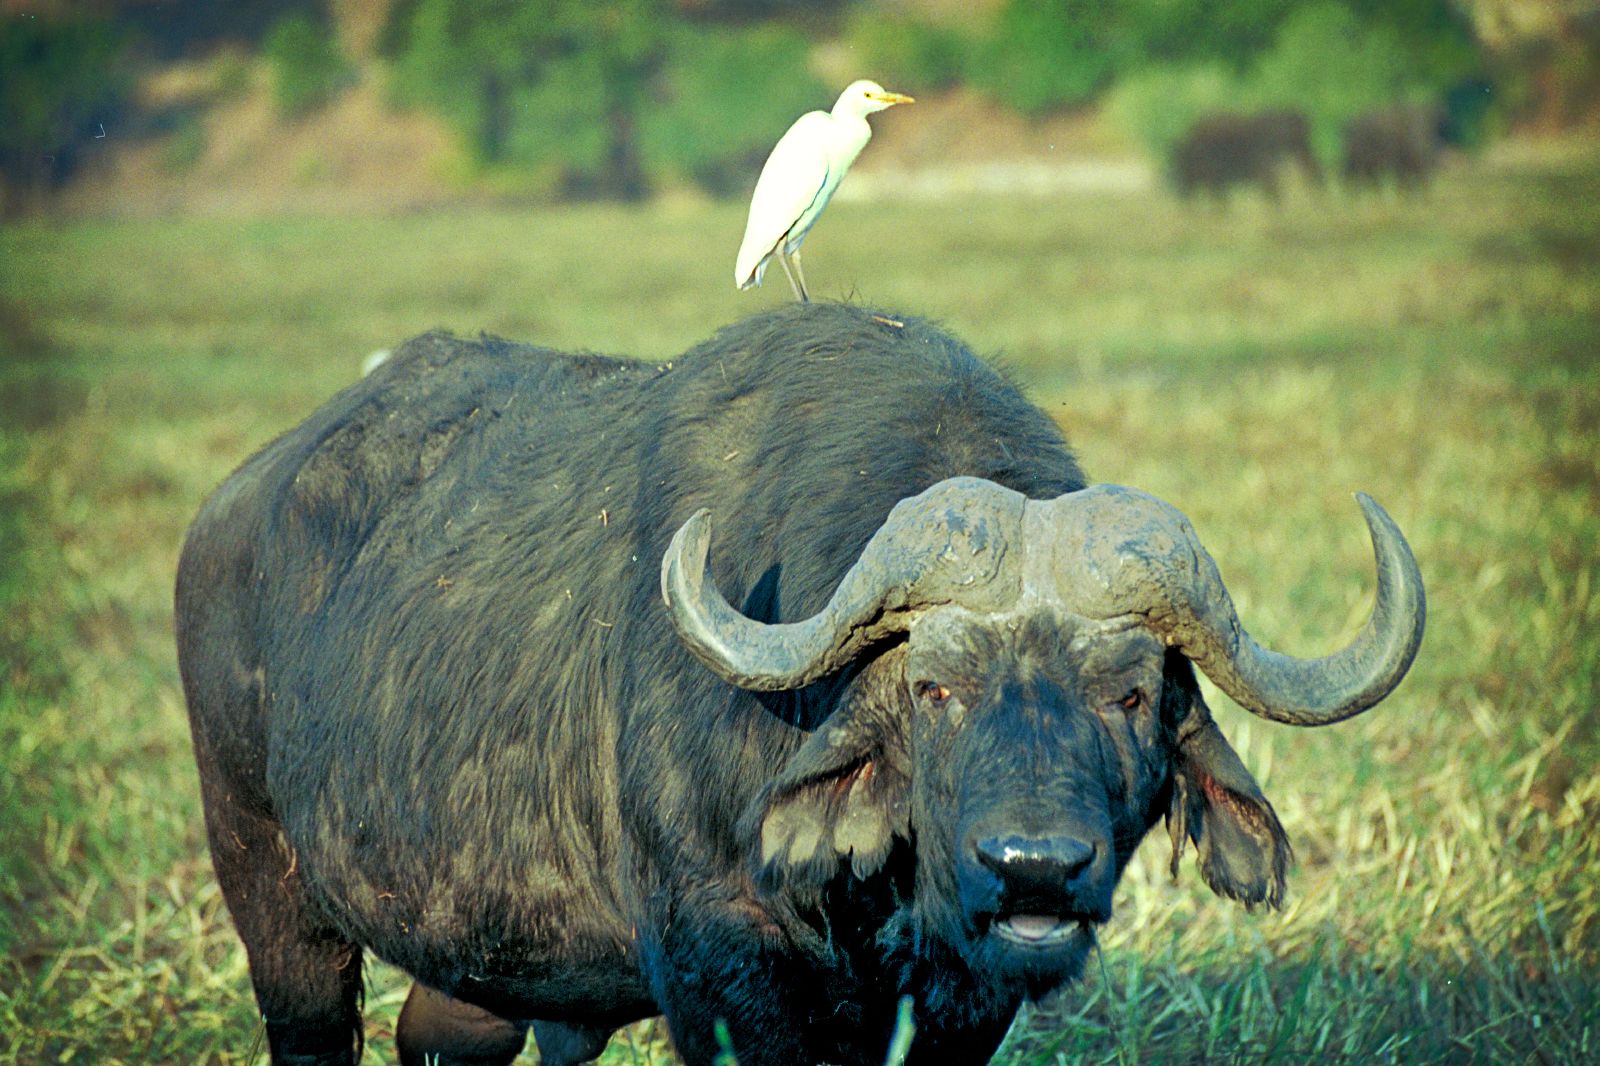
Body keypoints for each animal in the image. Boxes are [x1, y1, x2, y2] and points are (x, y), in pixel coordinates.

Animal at [178, 300, 1427, 1062]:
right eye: (933, 691)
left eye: (1126, 695)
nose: (1034, 865)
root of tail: (232, 509)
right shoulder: (721, 970)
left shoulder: (958, 1003)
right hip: (270, 889)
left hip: (480, 964)